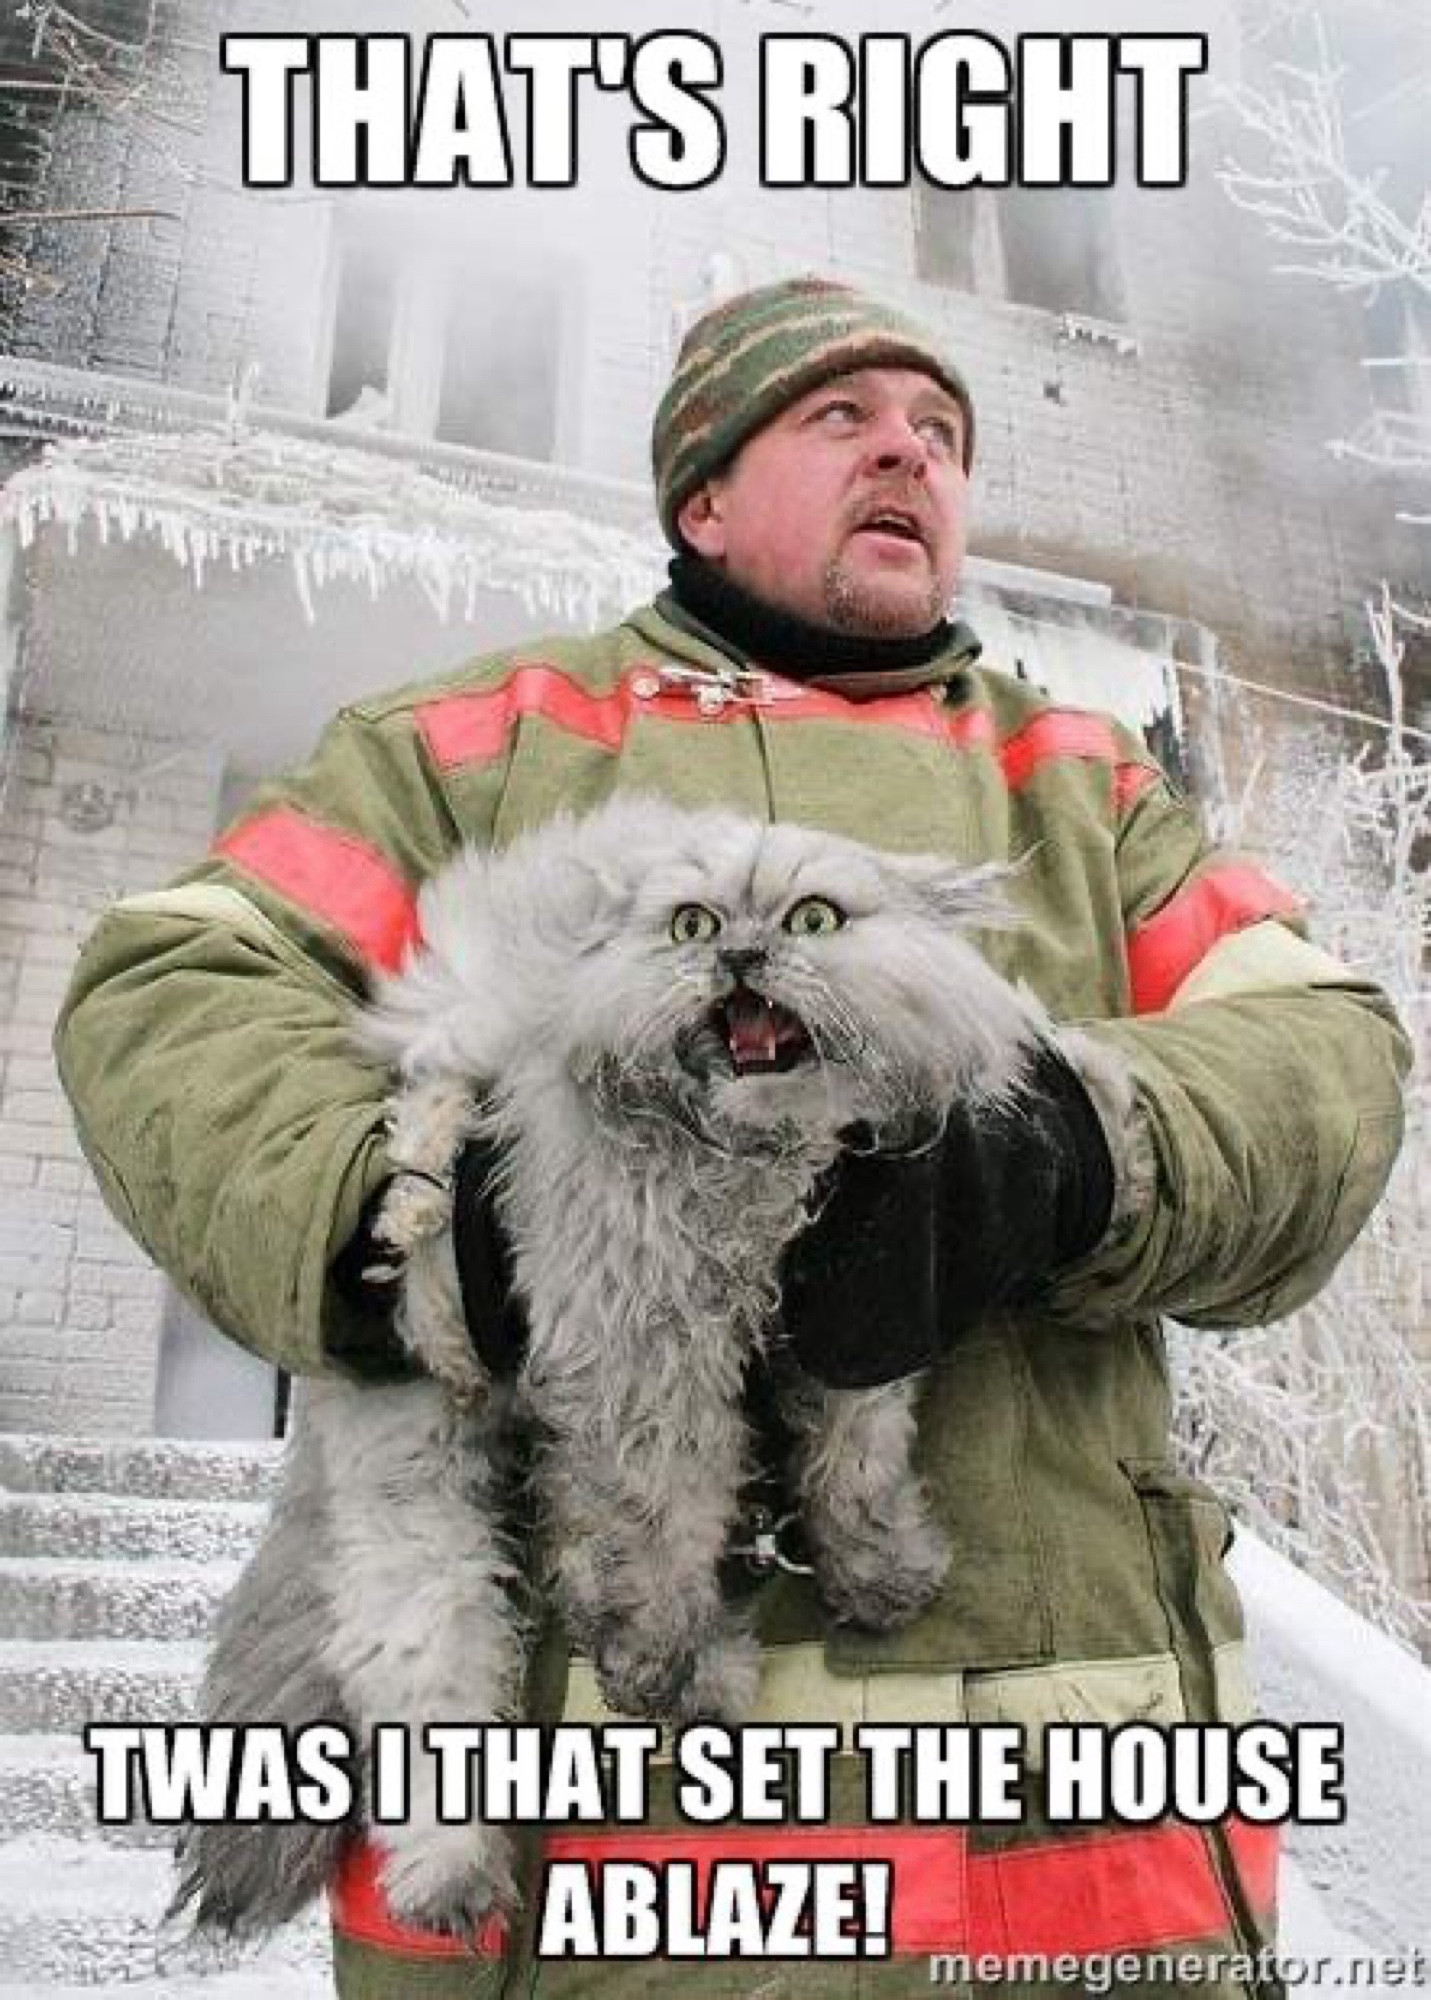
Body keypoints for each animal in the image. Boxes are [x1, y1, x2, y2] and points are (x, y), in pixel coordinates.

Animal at [175, 792, 1095, 1936]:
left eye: (815, 920)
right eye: (693, 924)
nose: (740, 955)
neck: (754, 1172)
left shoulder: (862, 1311)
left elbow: (854, 1462)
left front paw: (877, 1569)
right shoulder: (643, 1357)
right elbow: (660, 1539)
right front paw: (667, 1663)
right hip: (419, 1472)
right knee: (422, 1664)